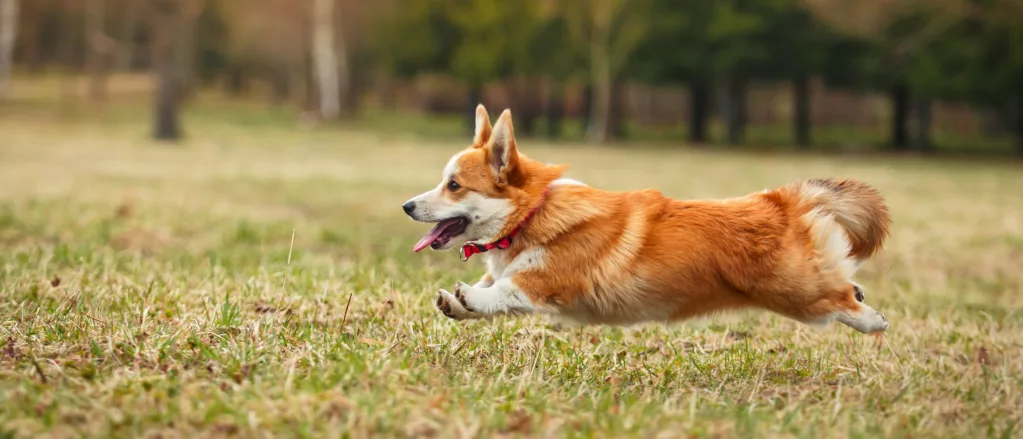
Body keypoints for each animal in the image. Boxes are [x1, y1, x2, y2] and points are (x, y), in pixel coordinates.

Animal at [403, 104, 892, 333]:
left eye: (453, 185)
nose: (407, 206)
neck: (530, 215)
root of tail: (780, 200)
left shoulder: (549, 282)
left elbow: (504, 290)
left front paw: (470, 297)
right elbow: (489, 293)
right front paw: (457, 303)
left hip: (797, 292)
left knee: (839, 297)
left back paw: (873, 320)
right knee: (845, 282)